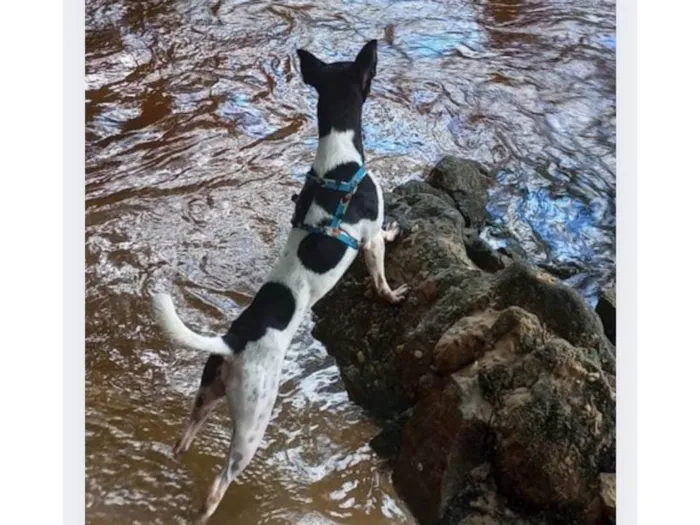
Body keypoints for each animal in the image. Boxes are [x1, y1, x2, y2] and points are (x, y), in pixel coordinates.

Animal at [150, 39, 408, 520]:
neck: (337, 163)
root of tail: (233, 341)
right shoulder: (369, 242)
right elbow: (380, 270)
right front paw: (392, 292)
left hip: (207, 393)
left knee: (184, 436)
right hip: (253, 421)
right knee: (219, 484)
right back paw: (205, 511)